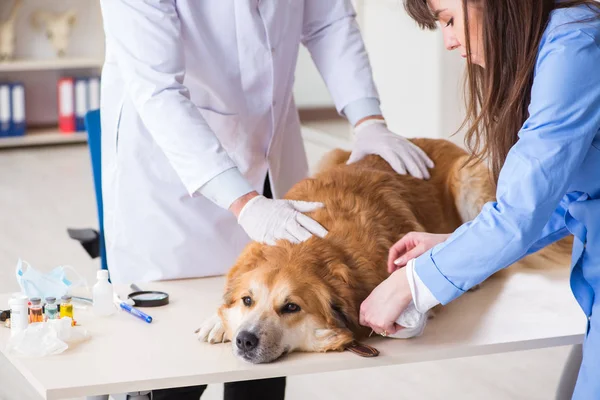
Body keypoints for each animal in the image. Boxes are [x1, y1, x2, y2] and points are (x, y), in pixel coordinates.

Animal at [195, 139, 568, 364]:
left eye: (291, 307)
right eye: (248, 300)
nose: (244, 340)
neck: (309, 247)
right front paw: (217, 322)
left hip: (470, 178)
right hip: (334, 154)